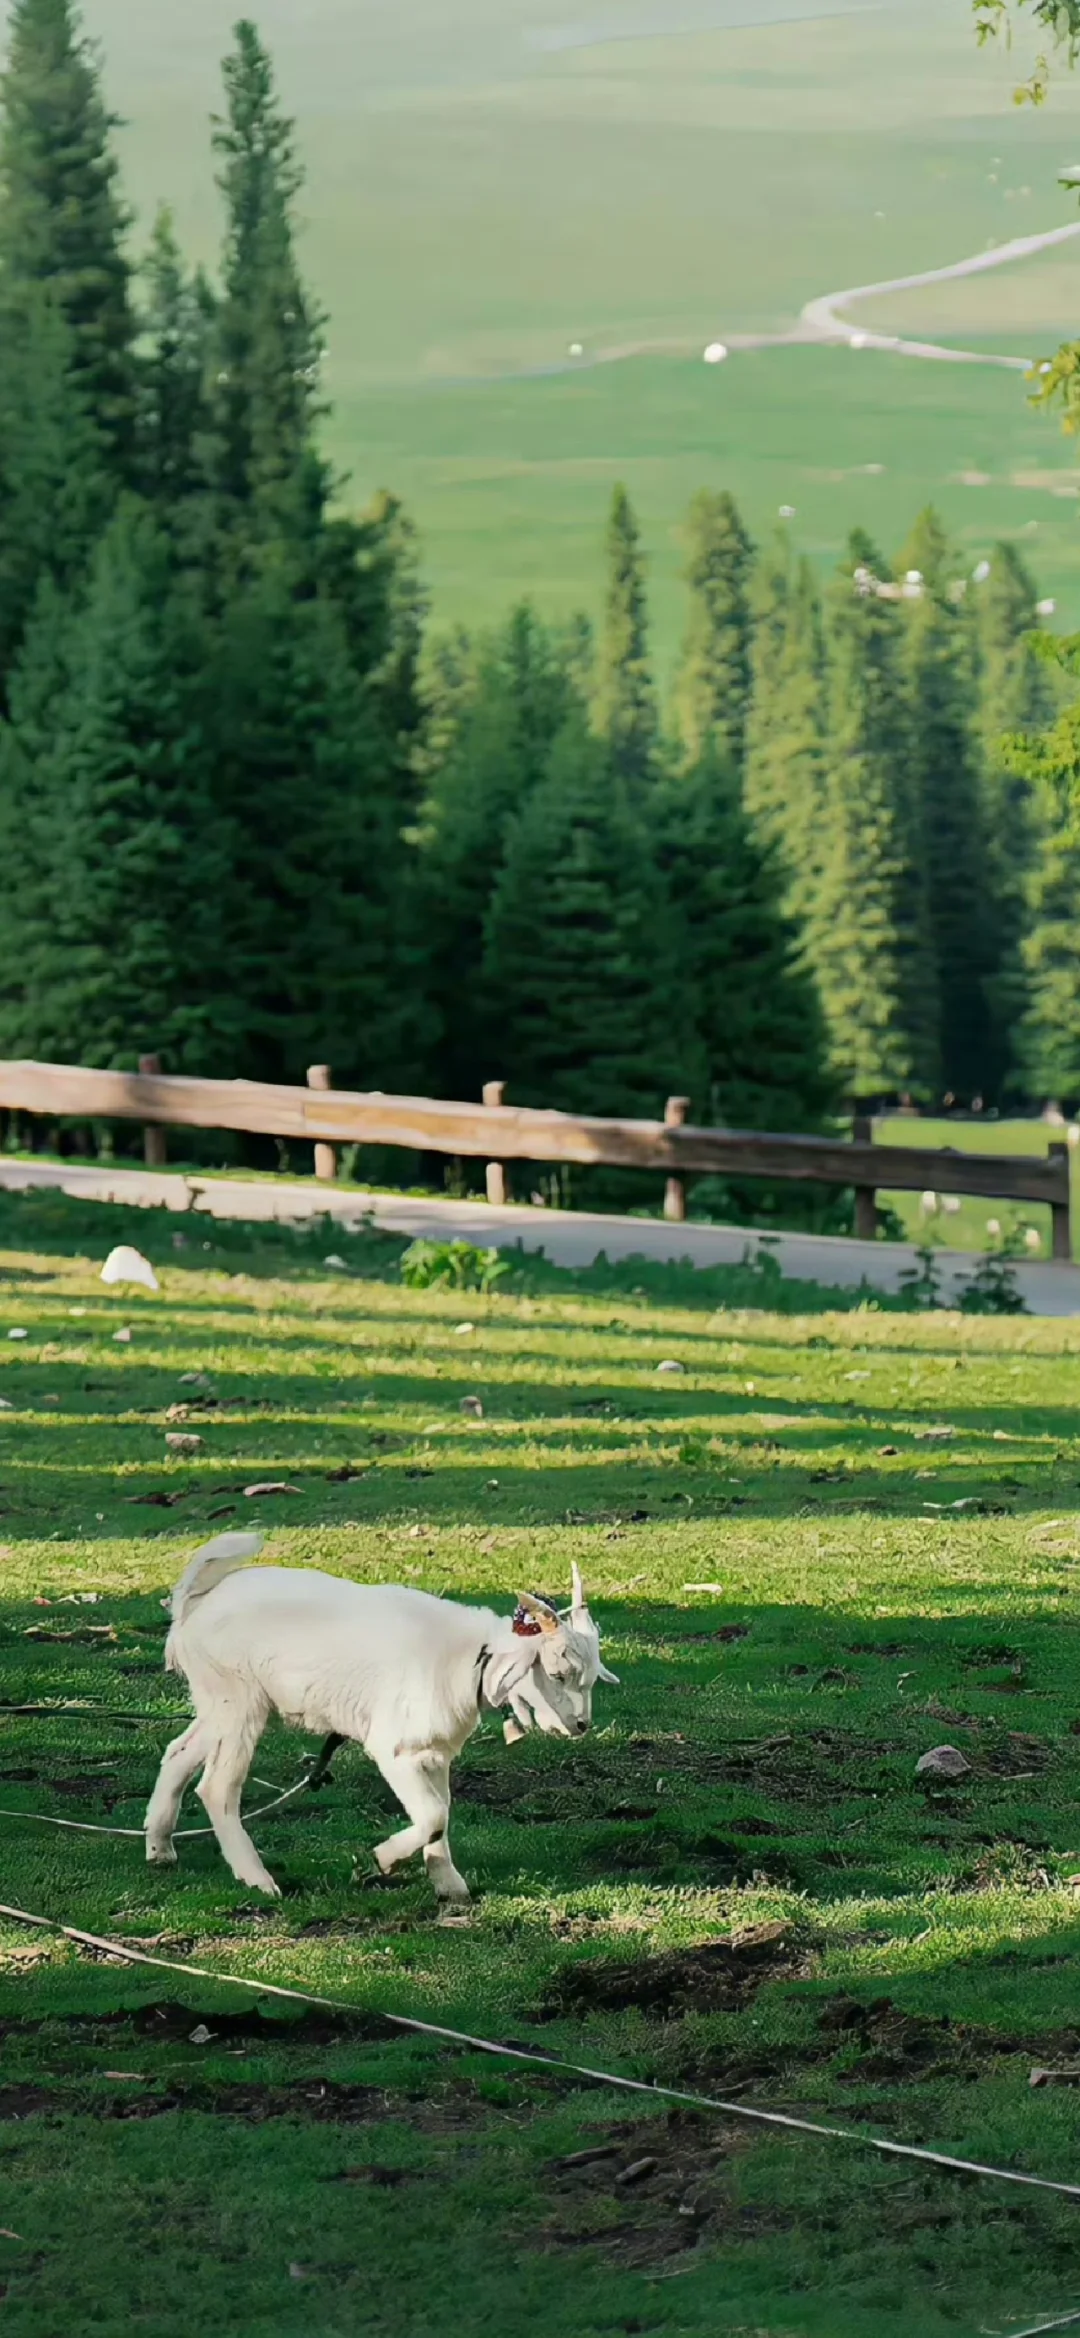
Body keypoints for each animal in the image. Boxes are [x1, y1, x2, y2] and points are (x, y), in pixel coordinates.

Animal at [143, 1533, 617, 1898]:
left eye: (591, 1679)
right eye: (557, 1672)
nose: (580, 1726)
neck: (469, 1660)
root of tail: (192, 1605)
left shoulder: (434, 1753)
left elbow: (440, 1816)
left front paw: (448, 1885)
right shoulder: (394, 1749)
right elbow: (433, 1816)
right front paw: (382, 1859)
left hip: (219, 1701)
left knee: (178, 1752)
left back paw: (160, 1849)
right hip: (238, 1700)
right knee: (217, 1787)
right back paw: (258, 1880)